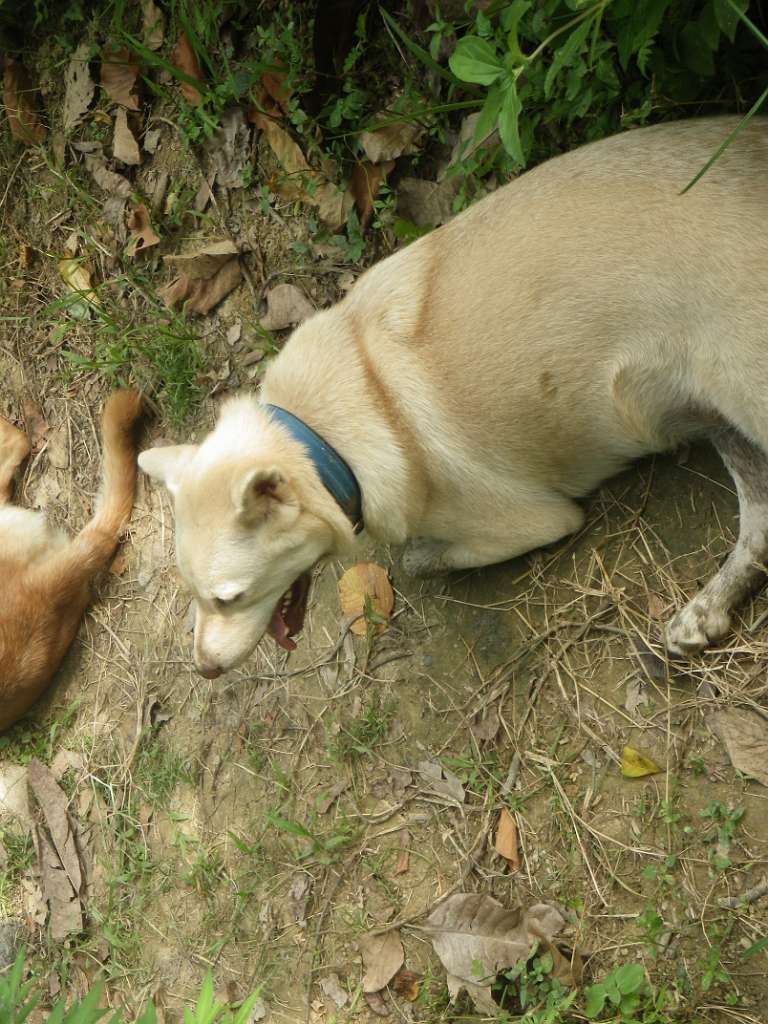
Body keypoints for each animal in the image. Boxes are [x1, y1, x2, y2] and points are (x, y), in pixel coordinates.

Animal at [139, 117, 768, 678]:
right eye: (194, 593)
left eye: (230, 597)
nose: (204, 670)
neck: (326, 432)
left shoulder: (541, 521)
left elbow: (425, 560)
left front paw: (424, 553)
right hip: (718, 418)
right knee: (760, 528)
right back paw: (706, 612)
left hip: (748, 402)